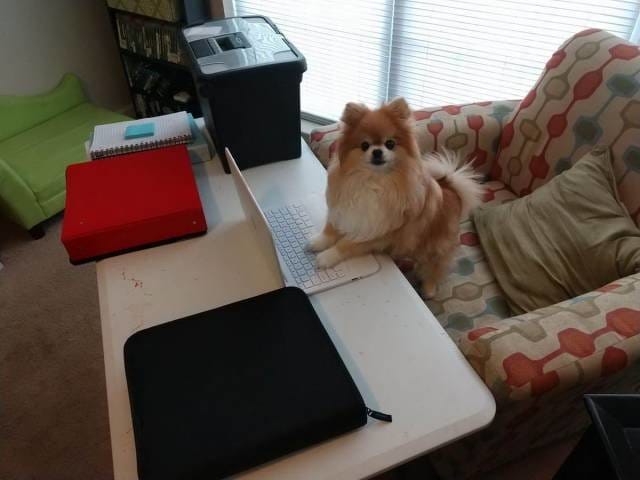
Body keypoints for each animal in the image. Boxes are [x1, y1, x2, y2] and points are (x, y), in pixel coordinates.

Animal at [308, 97, 484, 298]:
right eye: (365, 145)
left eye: (390, 144)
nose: (377, 151)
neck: (373, 181)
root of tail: (450, 188)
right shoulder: (343, 210)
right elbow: (330, 228)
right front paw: (319, 241)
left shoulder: (378, 231)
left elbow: (346, 244)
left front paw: (327, 256)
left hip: (435, 246)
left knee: (435, 266)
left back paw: (429, 288)